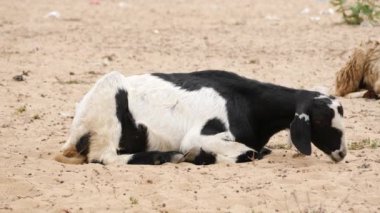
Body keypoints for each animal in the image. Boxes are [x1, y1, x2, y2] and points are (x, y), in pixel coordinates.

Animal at [55, 70, 348, 165]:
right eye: (321, 121)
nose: (342, 153)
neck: (247, 103)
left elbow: (257, 150)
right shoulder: (200, 135)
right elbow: (247, 152)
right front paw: (199, 156)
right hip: (110, 95)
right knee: (104, 157)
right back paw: (164, 156)